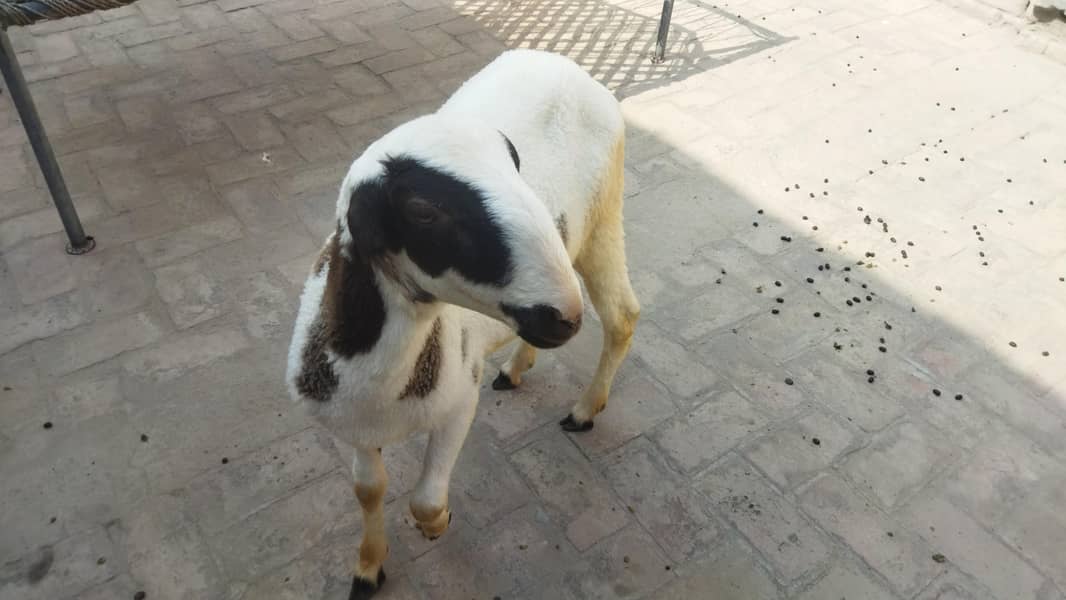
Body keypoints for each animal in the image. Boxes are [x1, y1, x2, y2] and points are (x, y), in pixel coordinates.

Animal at [285, 48, 640, 599]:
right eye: (422, 210)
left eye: (515, 160)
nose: (563, 316)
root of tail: (562, 62)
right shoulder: (354, 425)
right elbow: (368, 490)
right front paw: (368, 567)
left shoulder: (458, 402)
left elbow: (425, 499)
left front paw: (436, 525)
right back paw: (516, 367)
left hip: (604, 213)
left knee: (623, 317)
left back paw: (584, 411)